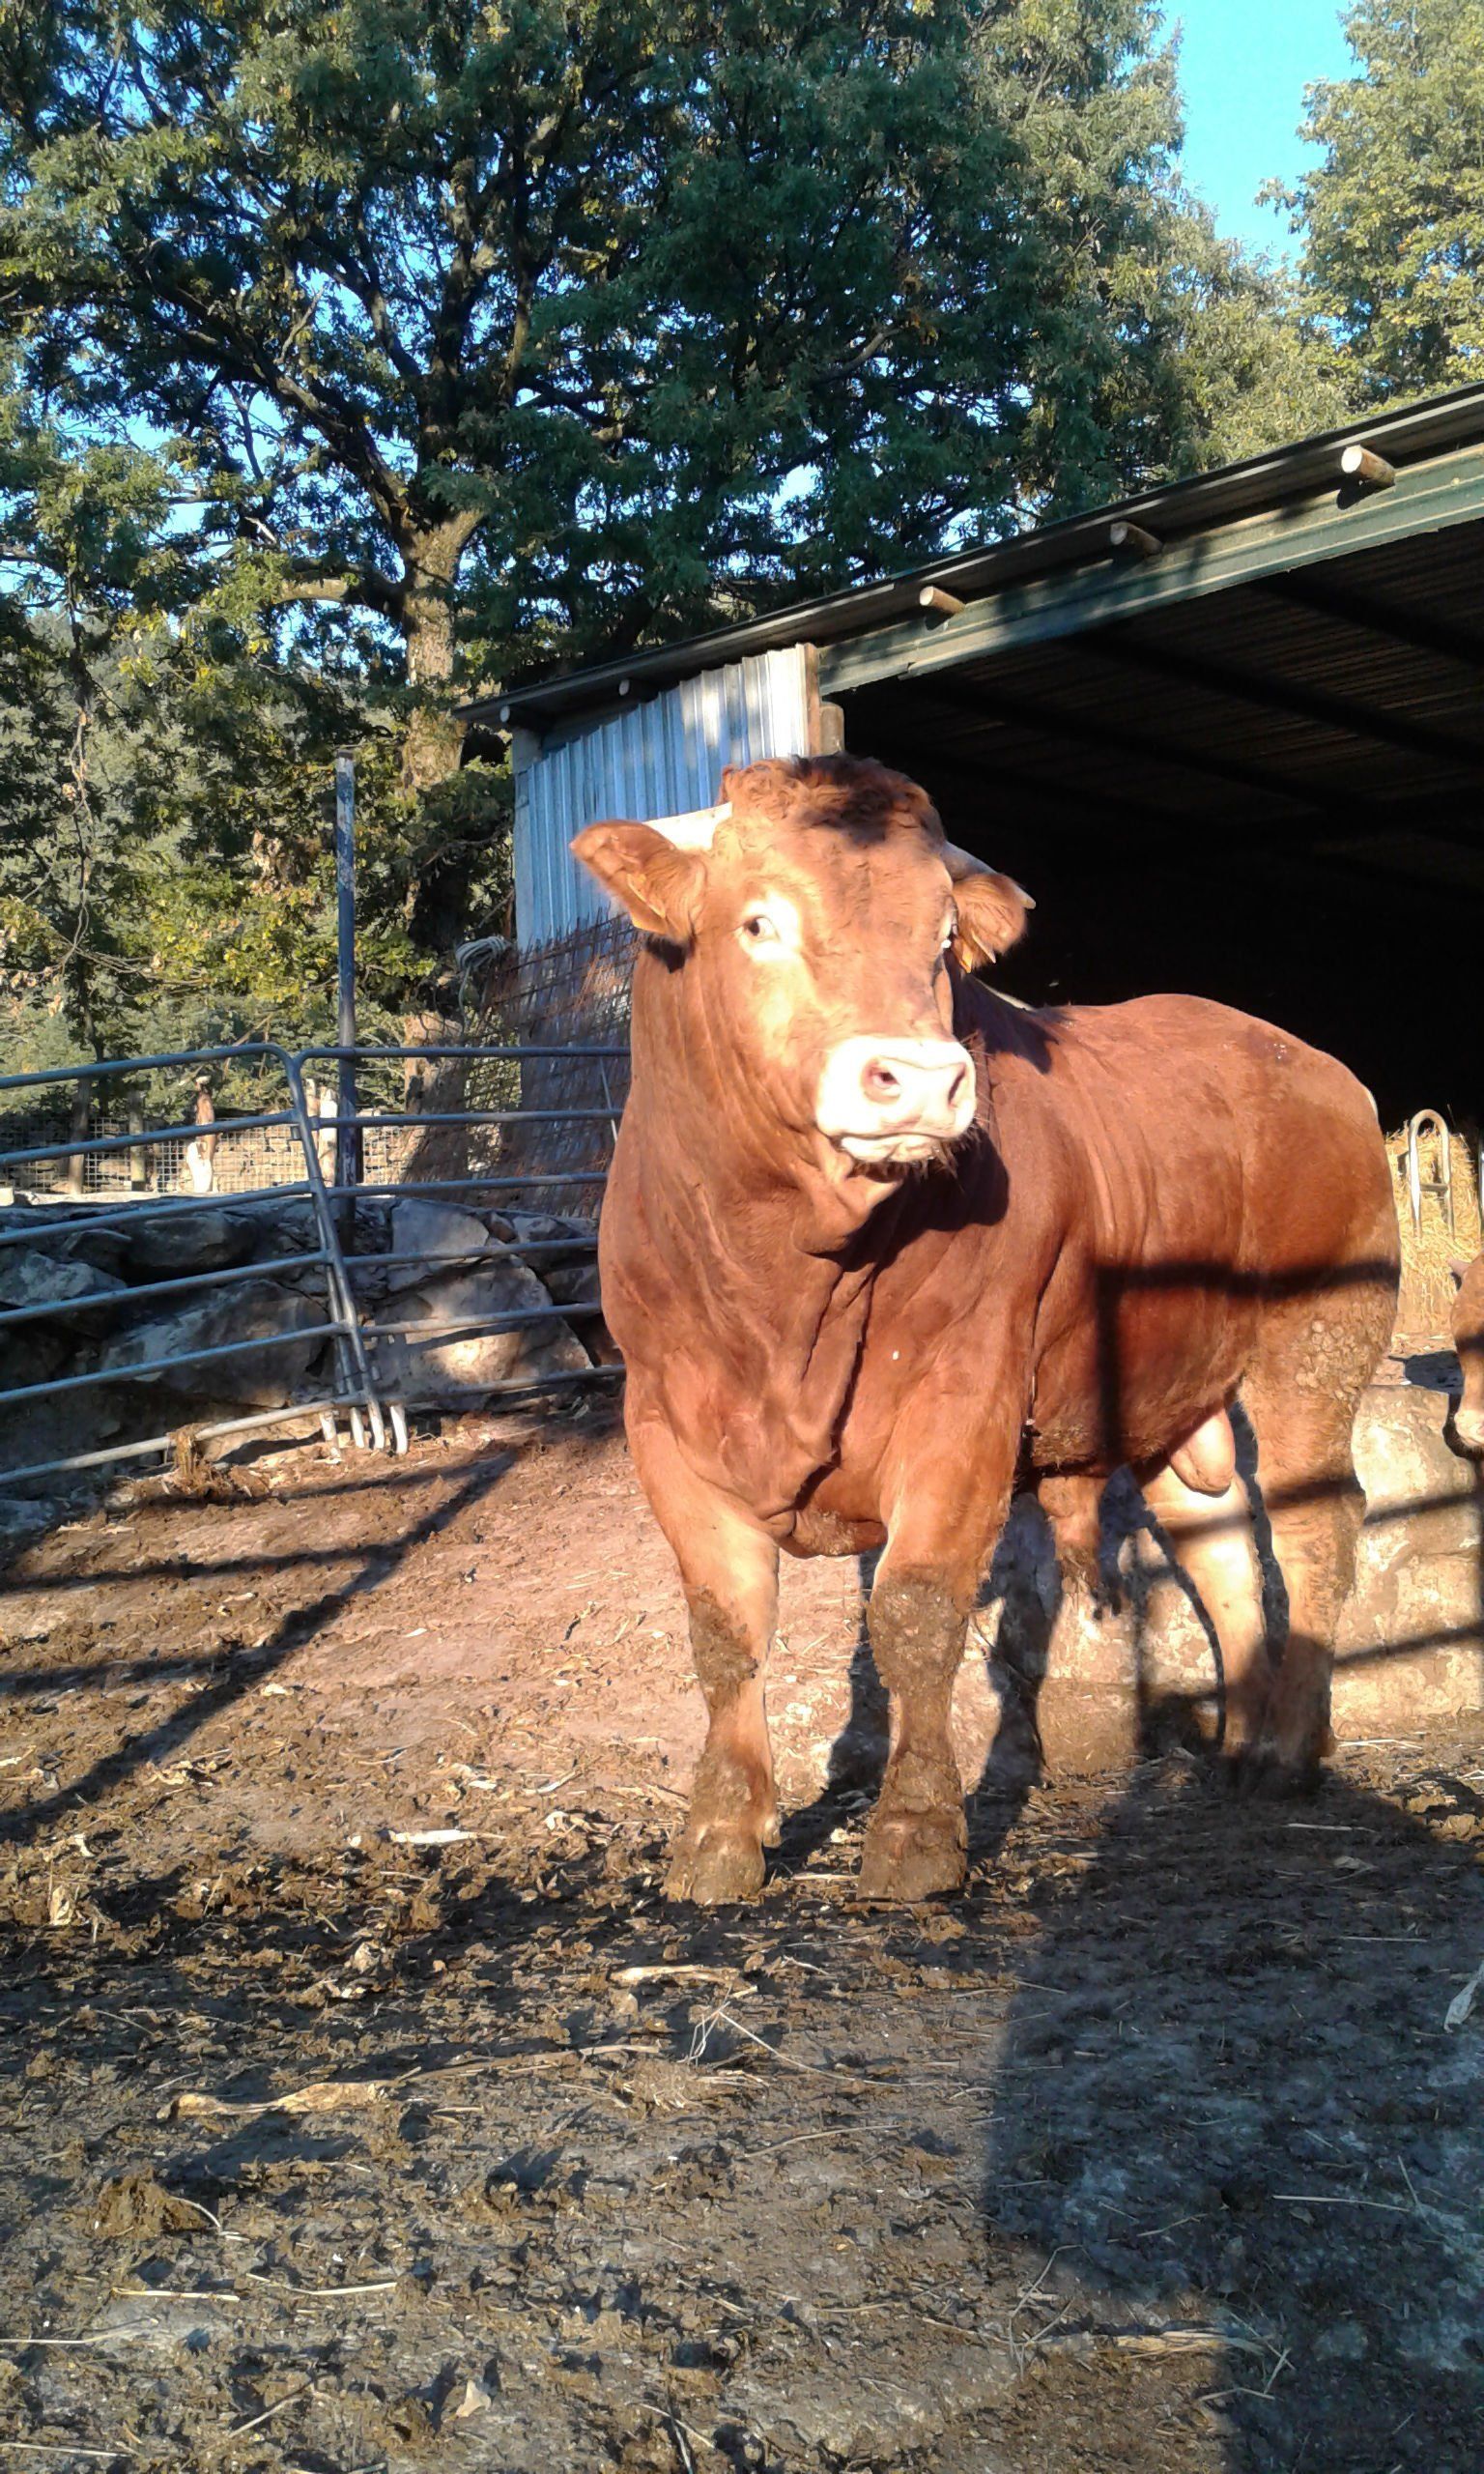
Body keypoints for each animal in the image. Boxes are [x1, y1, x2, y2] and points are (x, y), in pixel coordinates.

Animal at [573, 755, 1399, 1905]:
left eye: (942, 941)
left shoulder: (963, 1401)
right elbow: (725, 1631)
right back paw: (1239, 1748)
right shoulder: (662, 1419)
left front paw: (916, 1832)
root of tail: (1312, 1064)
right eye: (758, 921)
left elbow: (917, 1615)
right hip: (1173, 1390)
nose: (921, 1077)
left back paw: (1285, 1750)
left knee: (1317, 1526)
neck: (782, 1290)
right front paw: (719, 1835)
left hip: (1316, 1341)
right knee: (1222, 1544)